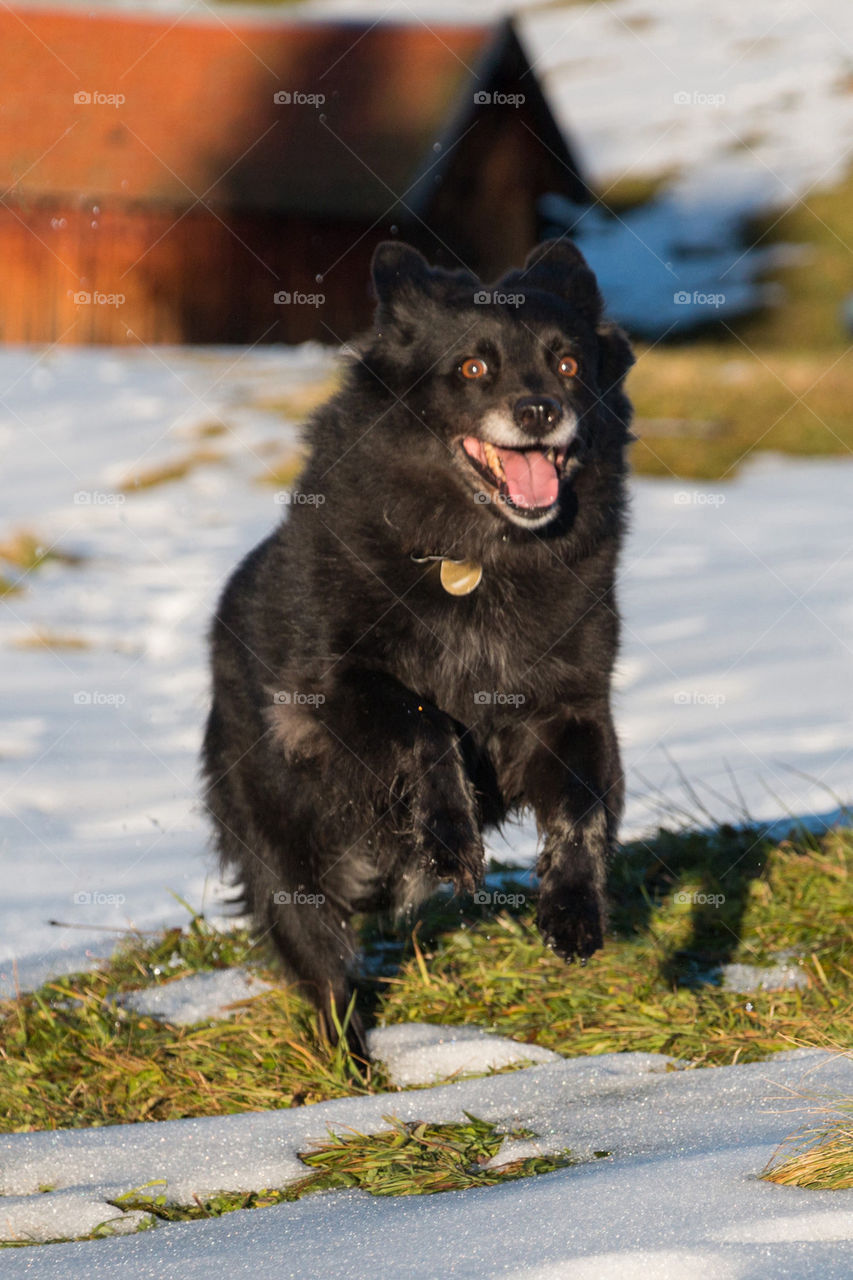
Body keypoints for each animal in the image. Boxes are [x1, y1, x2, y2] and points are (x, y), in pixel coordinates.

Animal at [202, 235, 630, 1054]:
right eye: (473, 369)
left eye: (567, 364)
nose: (540, 410)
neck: (476, 561)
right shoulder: (333, 688)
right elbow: (422, 723)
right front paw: (450, 838)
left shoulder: (569, 706)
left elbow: (584, 805)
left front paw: (572, 910)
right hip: (286, 859)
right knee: (328, 980)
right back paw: (356, 1071)